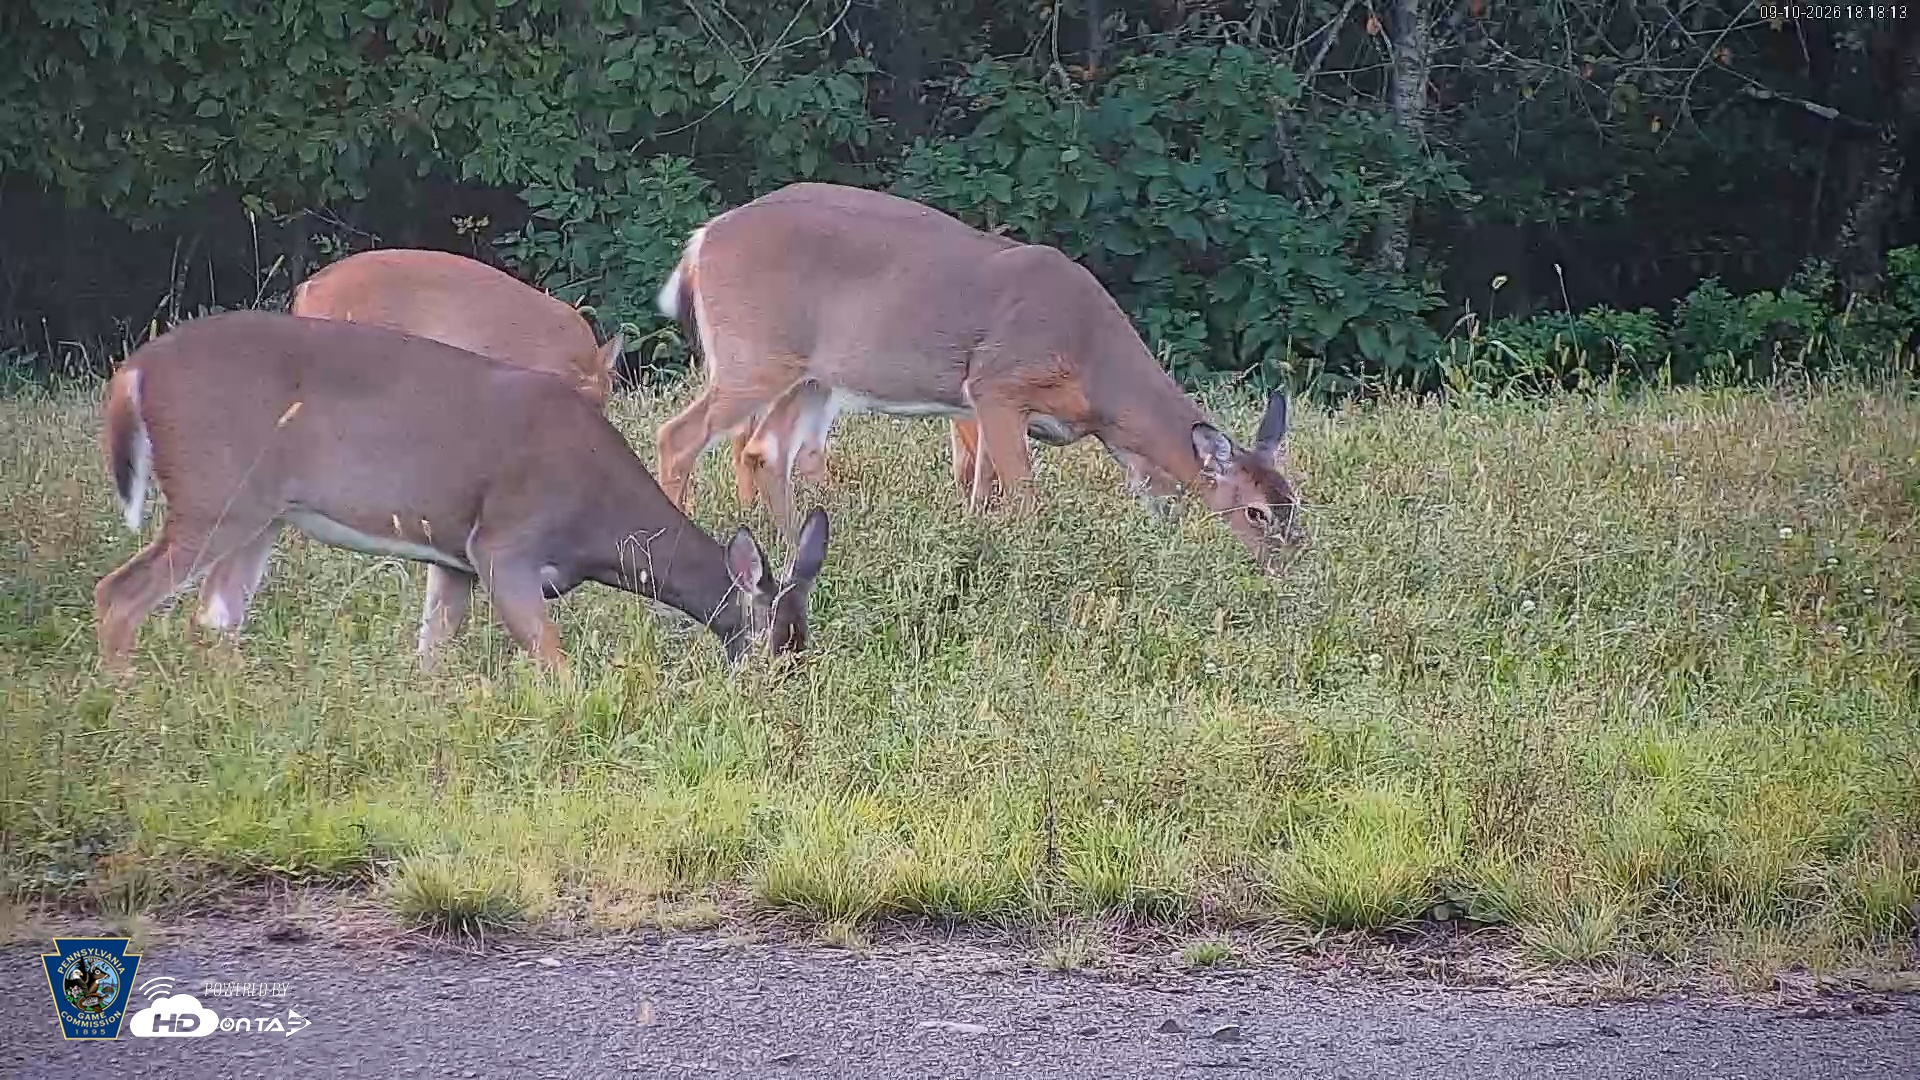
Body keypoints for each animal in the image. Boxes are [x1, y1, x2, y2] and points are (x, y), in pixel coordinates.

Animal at [93, 310, 830, 677]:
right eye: (771, 649)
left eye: (802, 643)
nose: (783, 700)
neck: (597, 522)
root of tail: (134, 370)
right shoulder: (504, 543)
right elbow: (553, 661)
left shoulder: (453, 558)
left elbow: (431, 653)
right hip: (214, 494)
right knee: (119, 594)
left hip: (260, 513)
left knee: (215, 616)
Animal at [652, 182, 1304, 569]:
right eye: (1256, 511)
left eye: (1295, 500)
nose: (1289, 563)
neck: (1098, 377)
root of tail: (701, 240)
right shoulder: (997, 384)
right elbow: (1024, 497)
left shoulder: (989, 410)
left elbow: (981, 488)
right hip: (754, 356)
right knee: (679, 436)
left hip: (810, 378)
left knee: (765, 450)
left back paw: (798, 554)